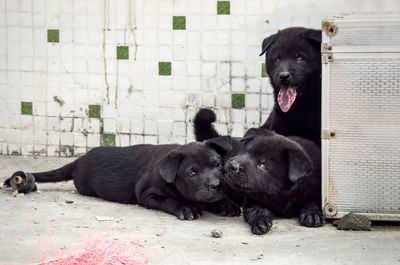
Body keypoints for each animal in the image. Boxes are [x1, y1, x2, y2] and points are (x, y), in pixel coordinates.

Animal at [3, 137, 241, 220]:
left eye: (217, 165)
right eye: (192, 173)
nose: (217, 184)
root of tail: (78, 161)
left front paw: (225, 204)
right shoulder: (147, 194)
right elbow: (170, 200)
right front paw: (186, 207)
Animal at [194, 108, 324, 234]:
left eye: (263, 165)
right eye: (246, 151)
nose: (232, 165)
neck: (279, 195)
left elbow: (314, 201)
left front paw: (313, 214)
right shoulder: (252, 198)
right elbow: (256, 210)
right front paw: (260, 221)